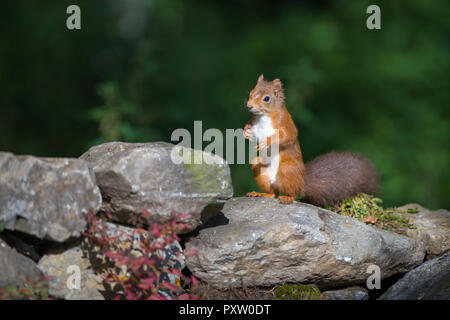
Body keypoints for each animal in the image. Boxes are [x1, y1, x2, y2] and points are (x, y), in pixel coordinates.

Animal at [244, 74, 378, 205]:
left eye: (266, 98)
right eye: (251, 92)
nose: (249, 106)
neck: (264, 116)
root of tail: (302, 182)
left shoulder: (285, 123)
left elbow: (288, 136)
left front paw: (266, 142)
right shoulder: (255, 122)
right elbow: (251, 128)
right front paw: (246, 132)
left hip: (287, 171)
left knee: (292, 192)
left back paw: (287, 198)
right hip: (260, 168)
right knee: (273, 193)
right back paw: (260, 193)